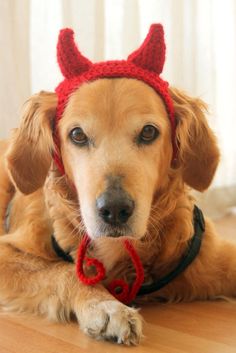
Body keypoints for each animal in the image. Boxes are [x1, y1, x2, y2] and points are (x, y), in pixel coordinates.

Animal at [0, 24, 236, 344]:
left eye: (148, 132)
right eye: (77, 135)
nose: (114, 210)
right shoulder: (7, 253)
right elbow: (63, 270)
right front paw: (105, 307)